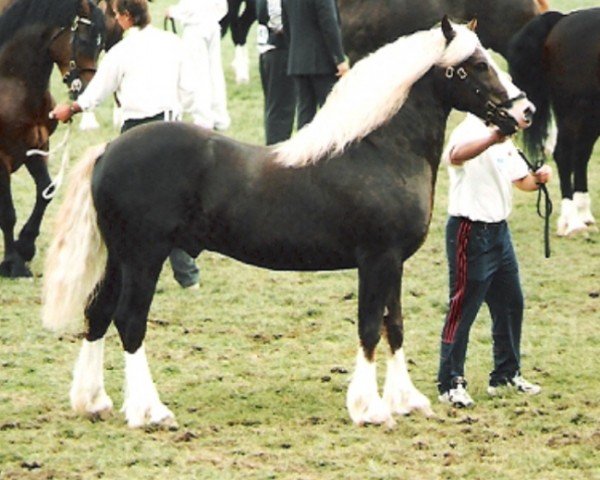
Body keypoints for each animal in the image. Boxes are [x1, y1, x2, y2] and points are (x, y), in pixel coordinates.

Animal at [0, 0, 105, 278]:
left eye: (101, 43)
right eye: (83, 40)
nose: (88, 90)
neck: (12, 84)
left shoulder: (36, 147)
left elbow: (46, 191)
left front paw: (25, 246)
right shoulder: (1, 159)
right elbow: (8, 212)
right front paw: (12, 262)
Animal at [41, 18, 536, 428]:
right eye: (475, 66)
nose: (524, 110)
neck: (379, 149)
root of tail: (109, 150)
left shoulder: (394, 263)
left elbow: (393, 325)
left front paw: (406, 400)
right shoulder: (376, 259)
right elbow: (369, 327)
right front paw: (370, 409)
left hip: (120, 258)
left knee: (99, 313)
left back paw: (94, 402)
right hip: (144, 257)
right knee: (130, 321)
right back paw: (150, 411)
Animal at [506, 8, 600, 237]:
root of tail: (563, 19)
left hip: (591, 114)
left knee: (580, 155)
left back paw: (584, 215)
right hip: (574, 111)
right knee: (565, 155)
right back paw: (572, 221)